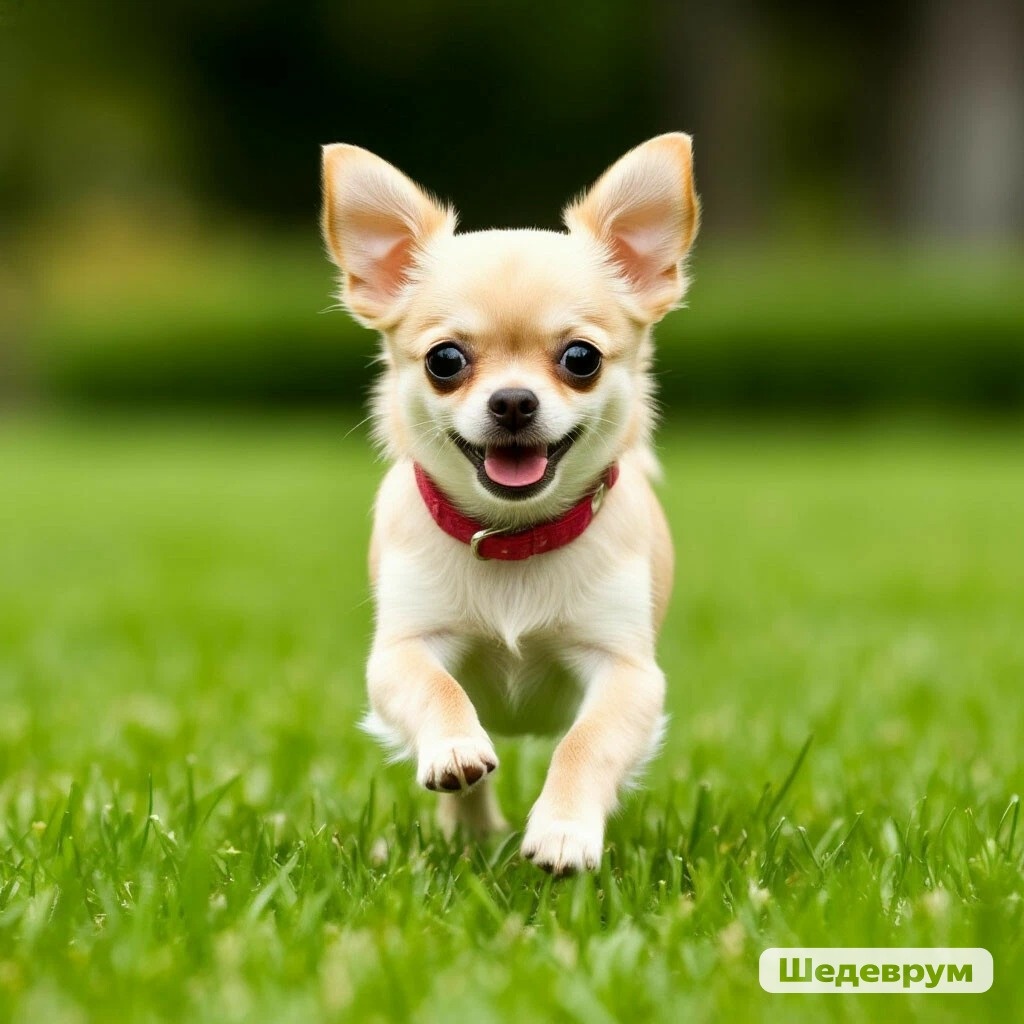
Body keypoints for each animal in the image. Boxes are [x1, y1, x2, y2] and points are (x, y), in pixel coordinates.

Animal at [321, 134, 699, 874]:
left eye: (581, 359)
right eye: (445, 361)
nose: (514, 401)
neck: (514, 537)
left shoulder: (629, 673)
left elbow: (588, 741)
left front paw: (564, 831)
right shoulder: (400, 651)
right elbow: (432, 685)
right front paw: (453, 747)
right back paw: (468, 827)